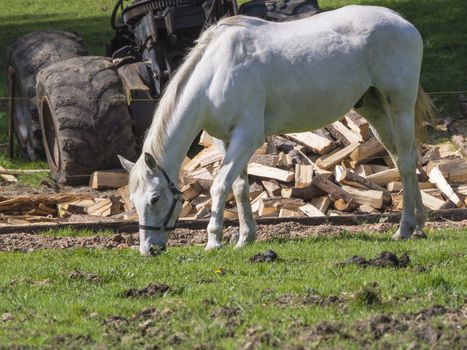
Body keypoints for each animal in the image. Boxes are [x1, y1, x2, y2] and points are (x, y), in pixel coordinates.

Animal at [119, 5, 436, 256]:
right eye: (134, 201)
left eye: (154, 198)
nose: (148, 250)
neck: (214, 74)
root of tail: (402, 22)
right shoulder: (225, 140)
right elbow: (239, 186)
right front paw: (245, 238)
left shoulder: (246, 137)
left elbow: (220, 185)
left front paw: (214, 241)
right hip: (374, 109)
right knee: (402, 158)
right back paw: (418, 225)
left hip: (399, 106)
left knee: (406, 161)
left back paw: (405, 228)